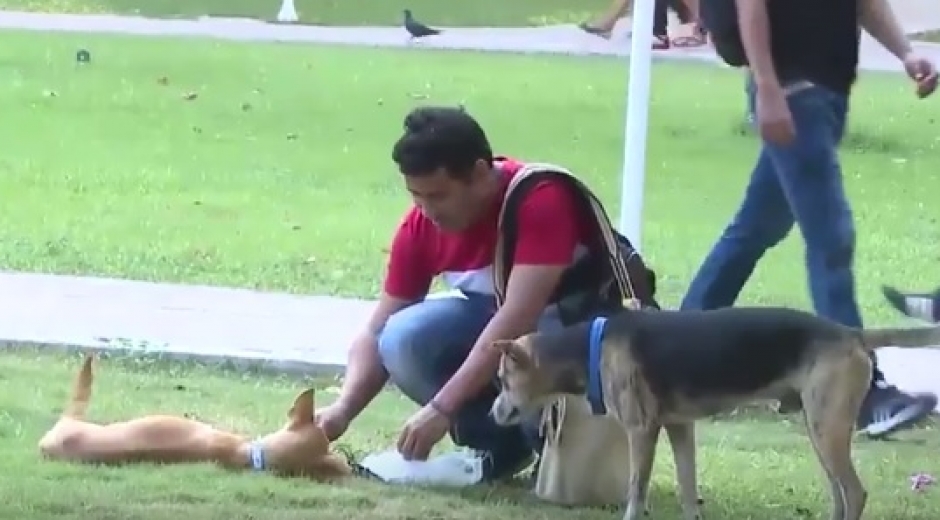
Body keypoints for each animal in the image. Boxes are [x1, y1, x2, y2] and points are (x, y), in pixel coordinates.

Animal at [488, 304, 940, 520]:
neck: (590, 346)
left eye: (502, 379)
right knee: (841, 494)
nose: (493, 413)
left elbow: (636, 490)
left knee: (855, 493)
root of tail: (851, 334)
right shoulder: (679, 428)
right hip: (821, 429)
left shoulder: (642, 429)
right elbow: (688, 489)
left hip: (826, 428)